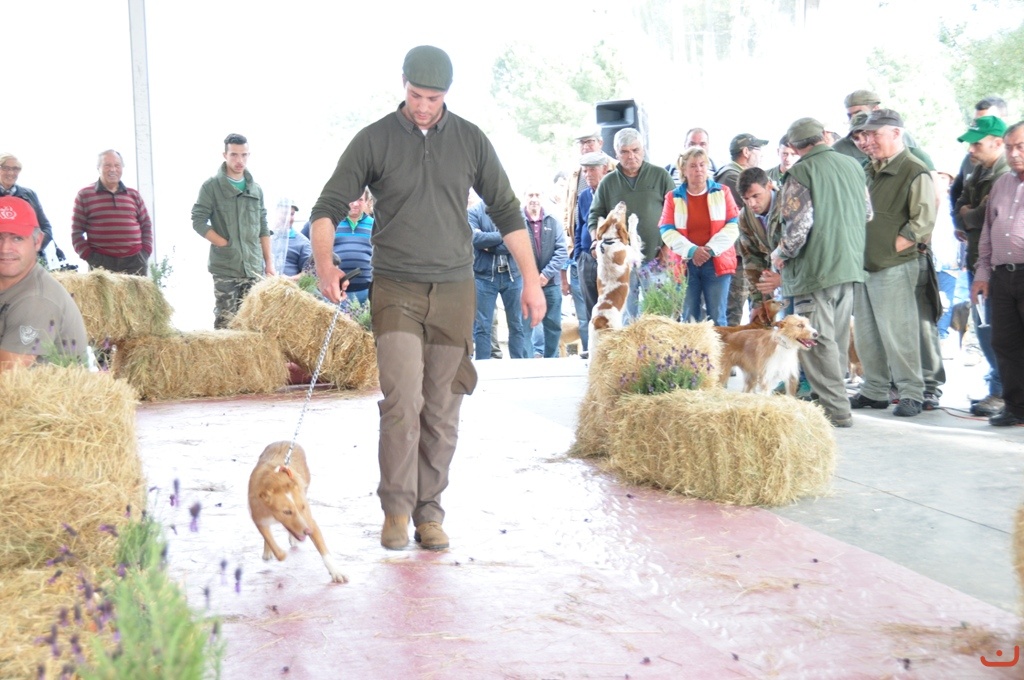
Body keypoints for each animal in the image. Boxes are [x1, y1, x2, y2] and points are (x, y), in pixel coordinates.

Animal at [248, 441, 347, 583]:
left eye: (303, 507)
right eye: (287, 512)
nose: (308, 531)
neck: (276, 481)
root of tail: (285, 440)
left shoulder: (309, 520)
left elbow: (323, 549)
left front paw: (336, 571)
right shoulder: (258, 518)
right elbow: (272, 543)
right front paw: (278, 553)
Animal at [590, 202, 643, 335]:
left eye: (612, 211)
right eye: (621, 213)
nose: (622, 202)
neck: (609, 240)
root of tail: (599, 318)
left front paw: (600, 220)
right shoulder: (634, 255)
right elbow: (632, 235)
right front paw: (633, 220)